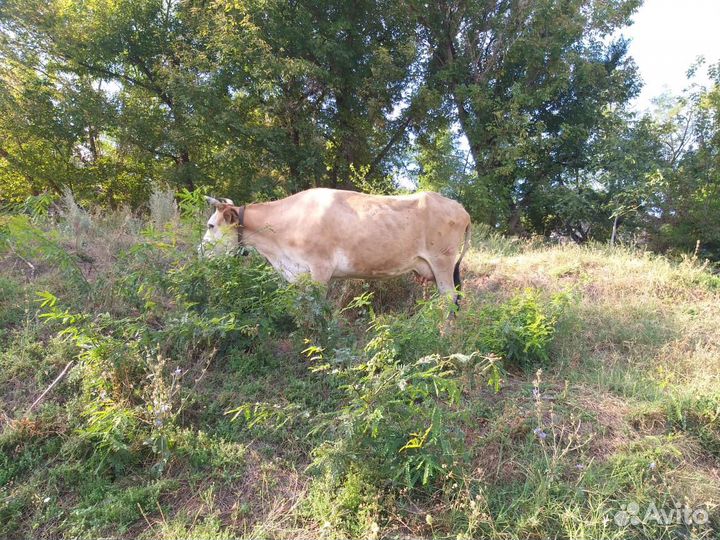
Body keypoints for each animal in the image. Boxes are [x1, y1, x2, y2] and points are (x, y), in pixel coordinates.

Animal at [201, 188, 471, 309]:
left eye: (211, 225)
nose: (200, 252)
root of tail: (460, 208)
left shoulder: (320, 269)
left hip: (442, 262)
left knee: (450, 299)